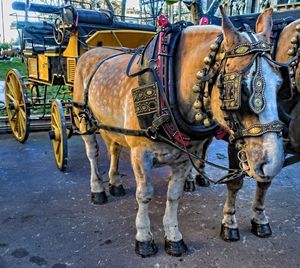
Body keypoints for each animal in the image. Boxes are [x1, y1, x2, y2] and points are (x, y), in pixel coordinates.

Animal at [72, 7, 284, 256]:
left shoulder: (184, 157)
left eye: (280, 83)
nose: (273, 163)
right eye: (239, 88)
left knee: (114, 148)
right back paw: (98, 189)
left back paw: (115, 183)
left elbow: (174, 195)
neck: (166, 83)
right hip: (83, 118)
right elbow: (144, 195)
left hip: (111, 125)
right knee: (93, 153)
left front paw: (173, 236)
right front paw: (144, 237)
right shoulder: (140, 153)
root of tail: (92, 51)